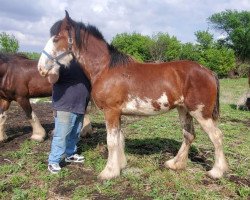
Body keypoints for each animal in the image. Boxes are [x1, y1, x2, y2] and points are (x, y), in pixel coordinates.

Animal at [37, 10, 229, 180]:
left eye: (56, 38)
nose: (41, 68)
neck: (105, 69)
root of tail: (208, 71)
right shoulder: (117, 113)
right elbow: (119, 139)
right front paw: (120, 165)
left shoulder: (111, 112)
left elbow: (111, 141)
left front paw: (108, 172)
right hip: (184, 110)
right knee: (188, 135)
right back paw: (175, 164)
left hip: (200, 113)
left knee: (217, 137)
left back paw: (216, 172)